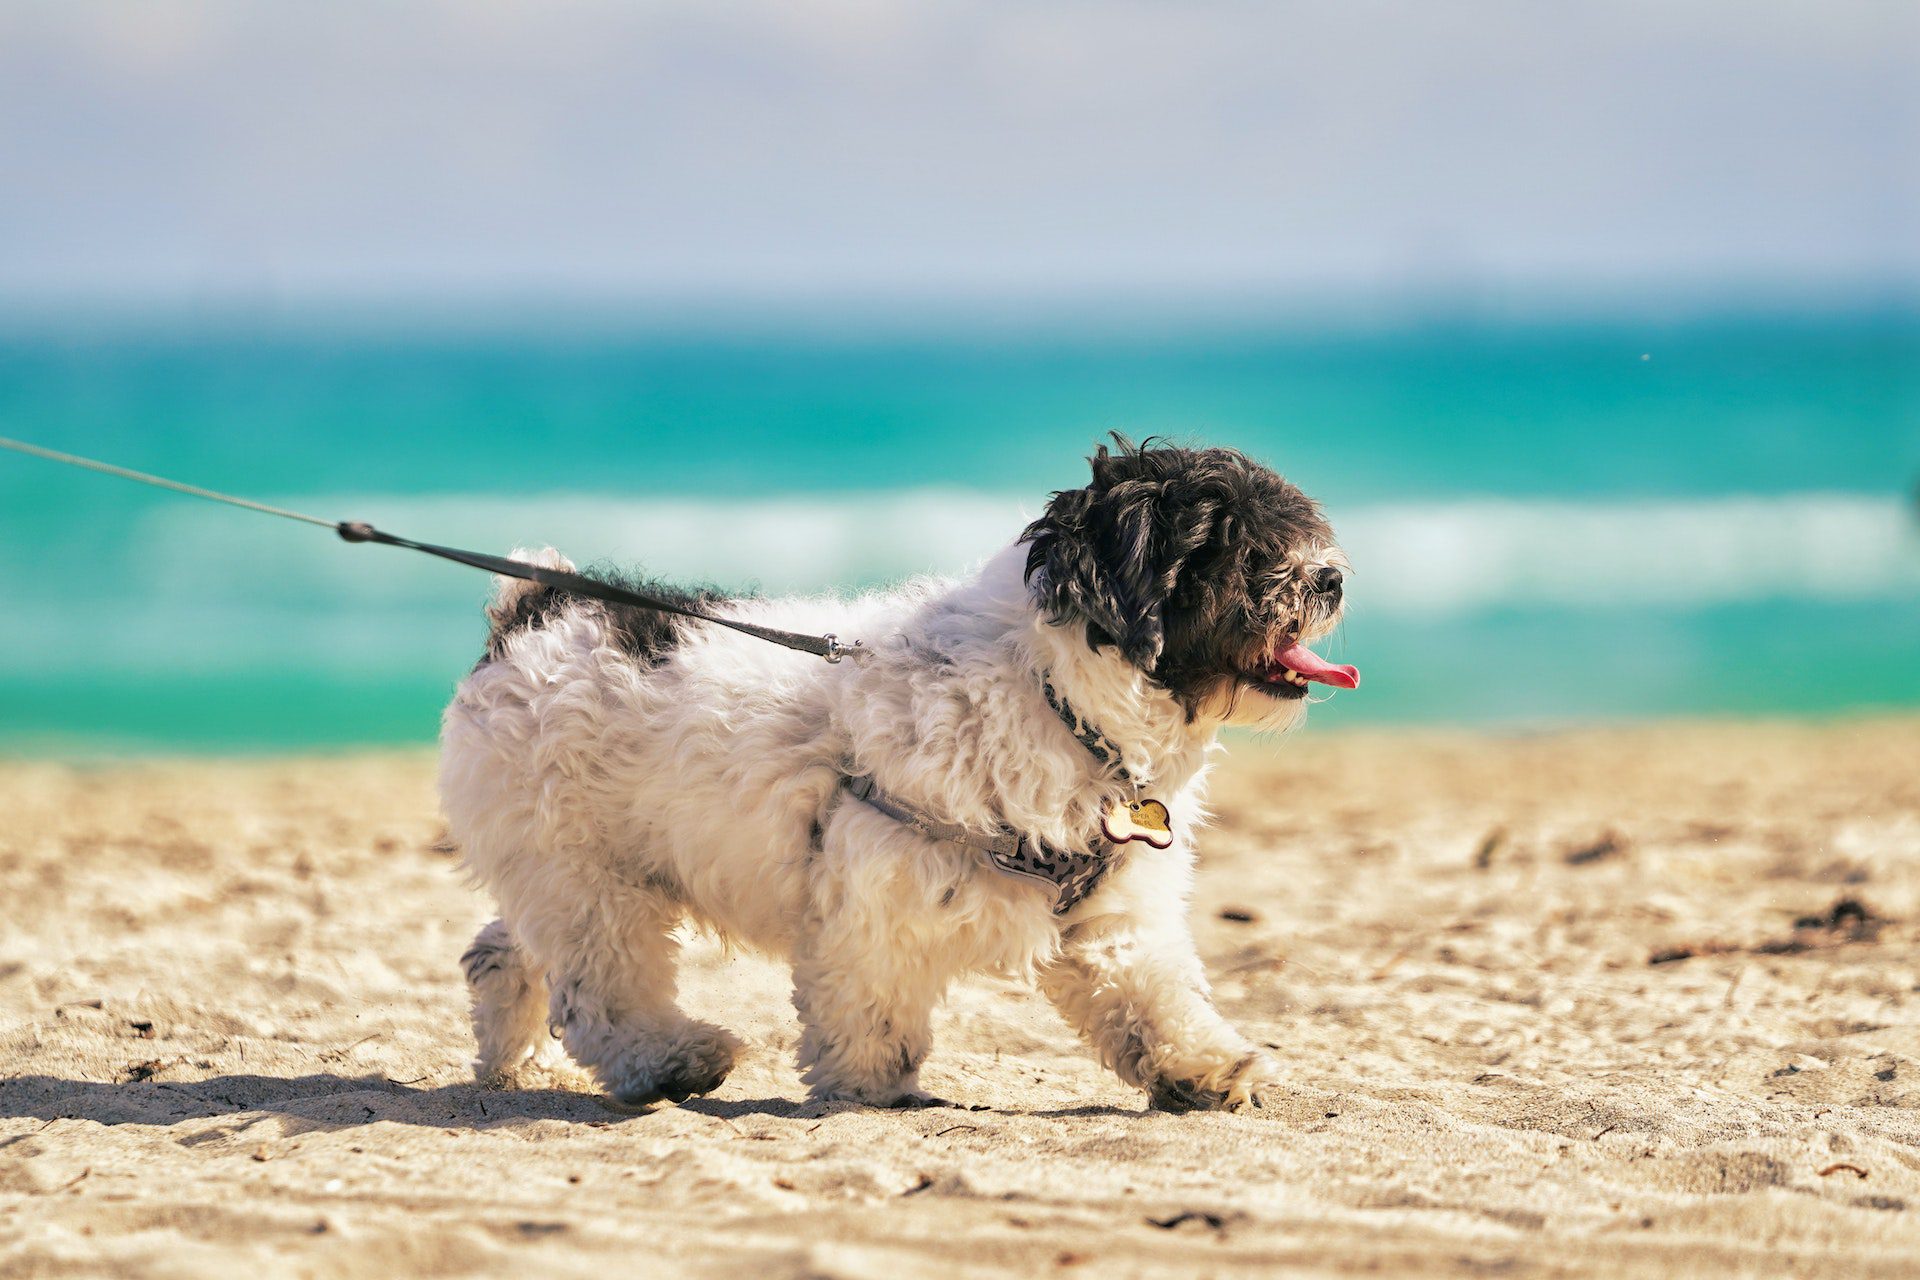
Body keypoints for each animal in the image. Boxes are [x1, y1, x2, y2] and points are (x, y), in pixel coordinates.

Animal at [441, 437, 1359, 1113]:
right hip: (587, 874)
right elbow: (872, 1003)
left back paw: (511, 1057)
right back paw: (671, 1061)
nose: (1332, 577)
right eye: (1239, 550)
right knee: (605, 986)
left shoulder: (1108, 908)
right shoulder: (876, 876)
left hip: (557, 869)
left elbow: (1151, 994)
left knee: (505, 950)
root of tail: (531, 615)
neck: (1053, 691)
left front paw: (1200, 1068)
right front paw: (870, 1085)